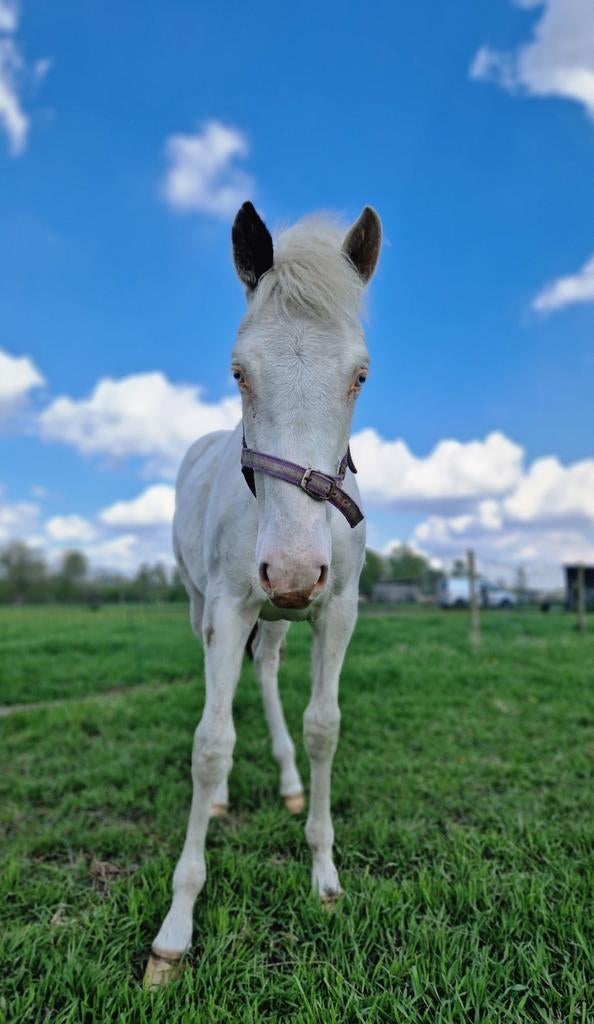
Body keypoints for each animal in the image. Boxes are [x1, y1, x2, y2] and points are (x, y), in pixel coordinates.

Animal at [145, 201, 382, 987]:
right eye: (239, 371)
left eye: (360, 374)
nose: (292, 567)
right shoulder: (228, 605)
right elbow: (211, 743)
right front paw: (175, 929)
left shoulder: (336, 610)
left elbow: (323, 727)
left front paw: (325, 876)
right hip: (210, 606)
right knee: (221, 687)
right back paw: (220, 802)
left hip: (281, 615)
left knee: (271, 671)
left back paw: (285, 780)